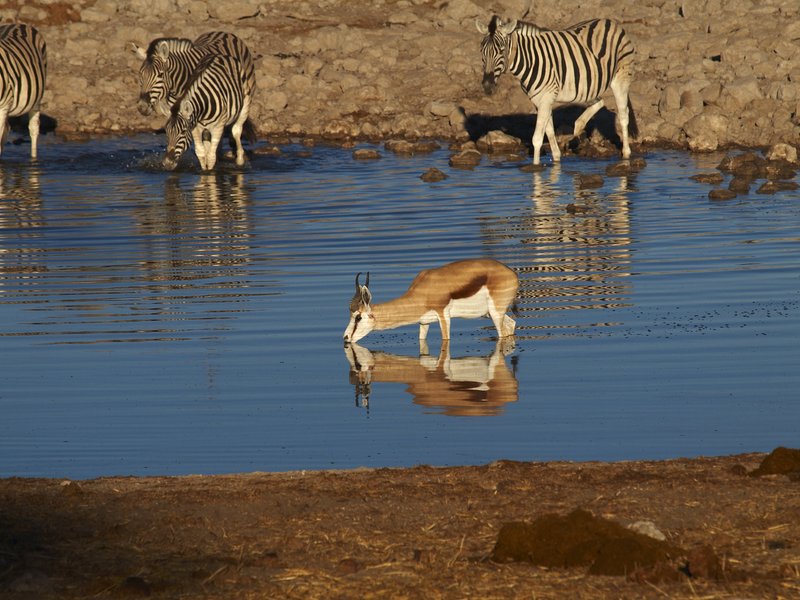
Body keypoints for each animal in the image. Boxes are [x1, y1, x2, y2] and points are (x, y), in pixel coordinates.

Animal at [0, 23, 47, 159]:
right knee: (6, 130)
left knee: (34, 129)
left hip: (36, 98)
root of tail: (19, 24)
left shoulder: (3, 107)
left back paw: (34, 158)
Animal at [477, 15, 637, 165]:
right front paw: (556, 159)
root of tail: (609, 21)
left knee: (623, 115)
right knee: (600, 102)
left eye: (501, 50)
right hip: (587, 87)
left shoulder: (546, 98)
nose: (487, 85)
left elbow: (537, 138)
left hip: (620, 79)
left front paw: (535, 169)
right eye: (482, 52)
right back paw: (578, 126)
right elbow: (549, 131)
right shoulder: (539, 101)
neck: (530, 60)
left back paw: (626, 154)